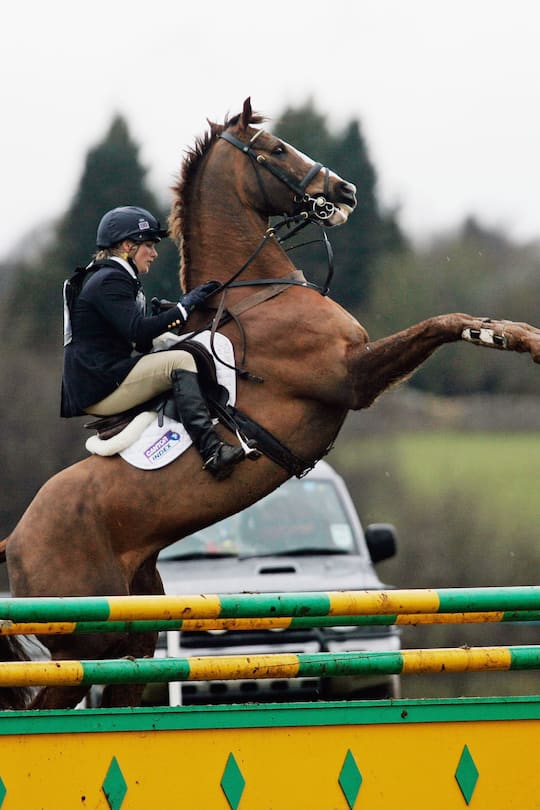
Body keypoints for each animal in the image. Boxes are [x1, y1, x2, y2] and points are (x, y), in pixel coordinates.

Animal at [3, 97, 540, 710]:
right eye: (277, 149)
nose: (346, 190)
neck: (260, 290)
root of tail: (15, 537)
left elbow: (451, 320)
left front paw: (519, 332)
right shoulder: (351, 375)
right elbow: (441, 323)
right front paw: (519, 340)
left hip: (130, 636)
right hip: (82, 642)